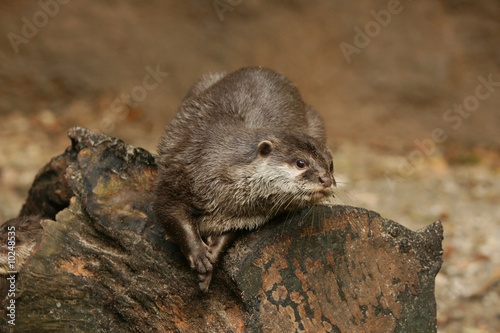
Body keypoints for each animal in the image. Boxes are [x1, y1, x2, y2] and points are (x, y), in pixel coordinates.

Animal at [155, 66, 336, 290]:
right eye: (301, 163)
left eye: (331, 165)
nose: (326, 179)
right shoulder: (176, 175)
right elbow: (172, 214)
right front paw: (198, 254)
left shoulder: (242, 217)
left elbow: (228, 235)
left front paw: (211, 259)